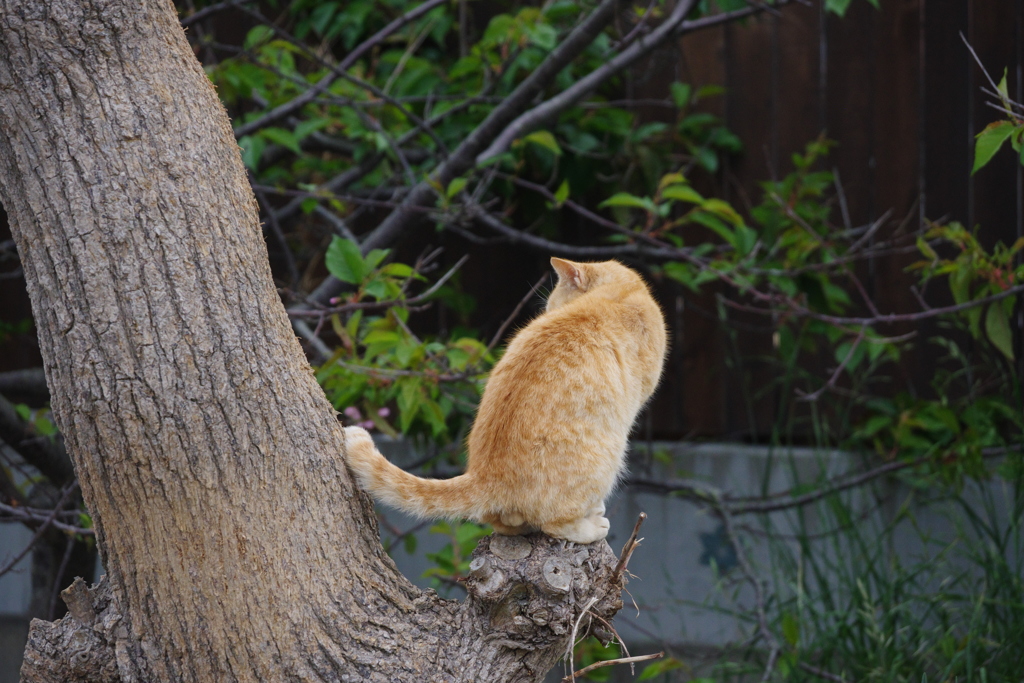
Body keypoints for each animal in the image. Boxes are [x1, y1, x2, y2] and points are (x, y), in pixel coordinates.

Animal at [339, 255, 667, 544]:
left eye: (552, 306)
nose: (546, 312)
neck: (625, 292)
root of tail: (484, 475)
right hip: (612, 451)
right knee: (555, 523)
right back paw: (592, 526)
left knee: (504, 522)